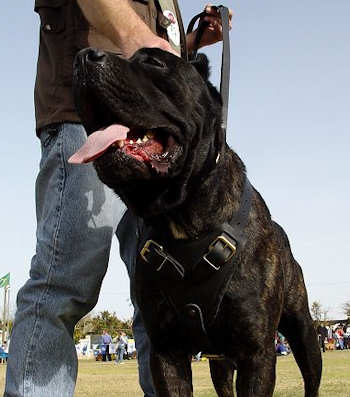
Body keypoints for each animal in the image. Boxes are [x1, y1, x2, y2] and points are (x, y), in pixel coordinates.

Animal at [69, 47, 322, 396]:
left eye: (153, 62)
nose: (82, 56)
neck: (180, 215)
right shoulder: (166, 352)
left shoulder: (257, 353)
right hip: (220, 361)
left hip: (303, 332)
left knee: (310, 374)